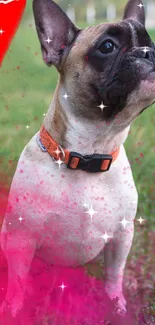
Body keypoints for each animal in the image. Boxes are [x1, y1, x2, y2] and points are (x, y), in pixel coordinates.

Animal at [0, 0, 155, 318]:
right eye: (107, 46)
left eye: (152, 43)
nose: (148, 52)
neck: (88, 153)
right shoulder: (21, 238)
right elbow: (18, 280)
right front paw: (14, 310)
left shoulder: (122, 234)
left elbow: (114, 274)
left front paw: (116, 305)